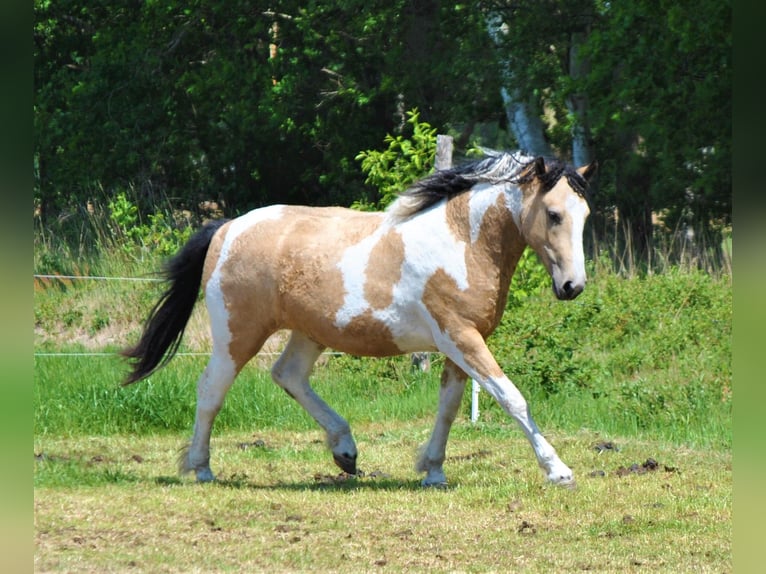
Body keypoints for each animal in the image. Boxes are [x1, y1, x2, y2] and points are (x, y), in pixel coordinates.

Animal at [122, 150, 596, 488]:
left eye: (585, 215)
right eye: (554, 214)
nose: (572, 286)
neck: (462, 241)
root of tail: (226, 228)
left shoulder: (461, 343)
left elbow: (448, 407)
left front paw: (433, 471)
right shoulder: (462, 338)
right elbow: (512, 398)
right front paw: (559, 471)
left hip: (309, 332)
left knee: (288, 375)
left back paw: (346, 452)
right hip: (237, 335)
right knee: (211, 389)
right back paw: (201, 468)